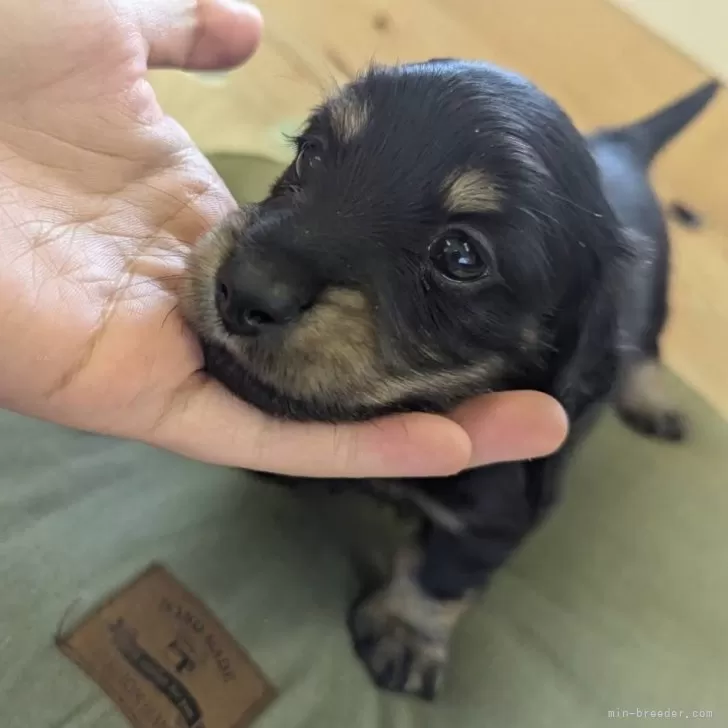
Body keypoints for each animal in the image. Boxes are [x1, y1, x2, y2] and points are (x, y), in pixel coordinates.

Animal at [181, 62, 716, 700]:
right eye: (311, 153)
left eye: (460, 256)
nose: (243, 291)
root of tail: (621, 145)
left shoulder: (500, 511)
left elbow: (443, 574)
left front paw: (406, 633)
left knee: (646, 352)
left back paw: (652, 403)